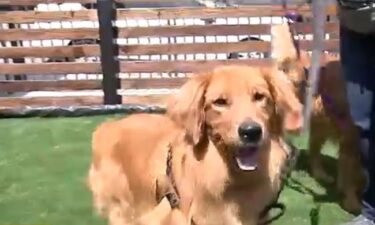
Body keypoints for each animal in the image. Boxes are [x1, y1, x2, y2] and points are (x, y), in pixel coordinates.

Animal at [272, 22, 366, 214]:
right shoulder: (351, 139)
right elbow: (350, 174)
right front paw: (352, 202)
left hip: (320, 126)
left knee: (313, 151)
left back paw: (321, 174)